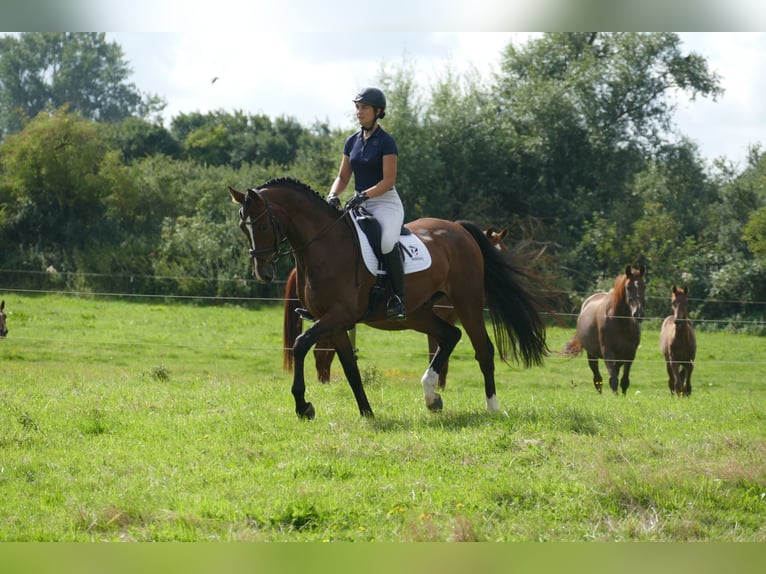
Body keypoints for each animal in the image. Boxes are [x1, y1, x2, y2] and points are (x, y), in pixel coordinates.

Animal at [564, 266, 648, 396]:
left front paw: (623, 397)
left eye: (644, 286)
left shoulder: (630, 354)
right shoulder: (607, 352)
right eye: (628, 287)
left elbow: (624, 380)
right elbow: (613, 379)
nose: (638, 313)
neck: (620, 322)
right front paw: (615, 397)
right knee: (597, 378)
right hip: (592, 355)